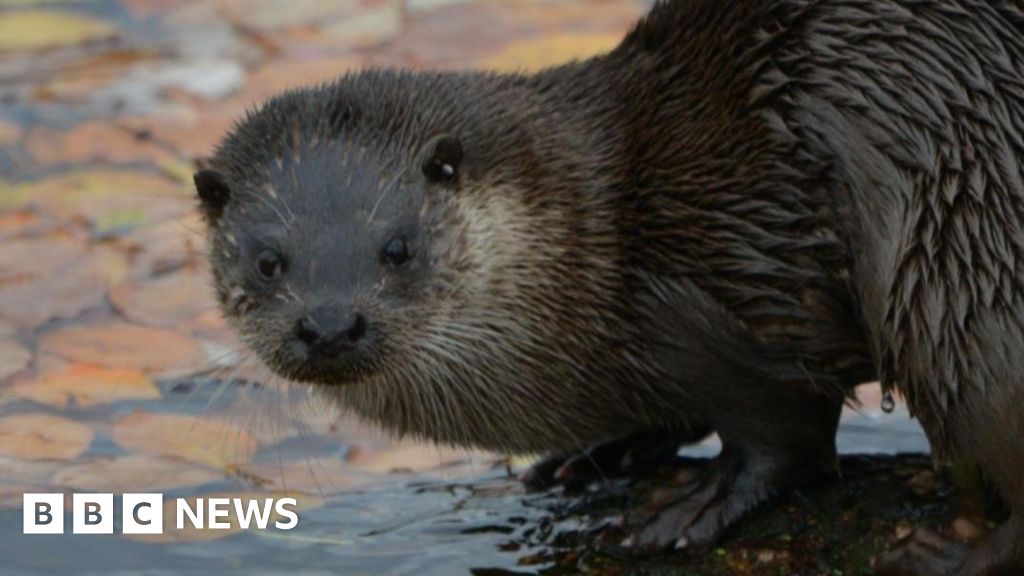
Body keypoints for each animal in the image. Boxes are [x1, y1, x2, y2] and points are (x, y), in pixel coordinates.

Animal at [195, 1, 1024, 574]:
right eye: (268, 261)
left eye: (396, 247)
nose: (330, 325)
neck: (612, 241)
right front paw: (601, 453)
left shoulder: (747, 298)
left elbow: (786, 434)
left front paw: (697, 504)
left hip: (956, 266)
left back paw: (950, 553)